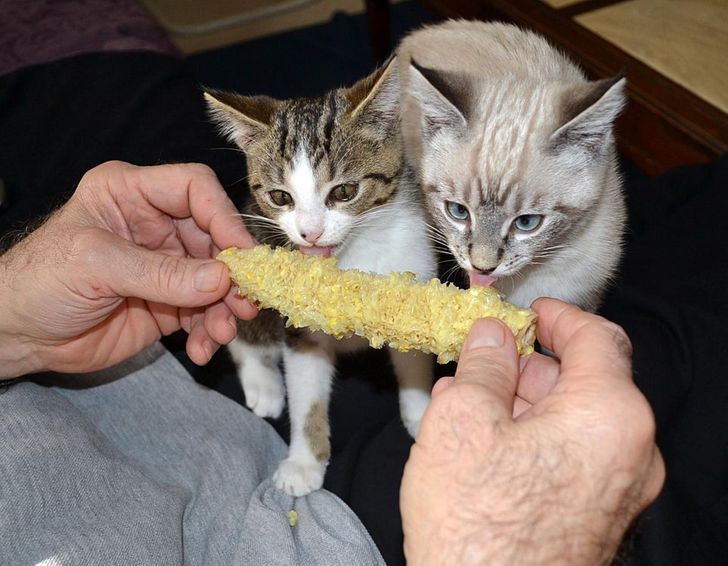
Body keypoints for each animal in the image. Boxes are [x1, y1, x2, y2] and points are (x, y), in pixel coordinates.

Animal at [205, 60, 436, 500]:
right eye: (280, 197)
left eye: (344, 191)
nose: (309, 234)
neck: (353, 258)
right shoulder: (300, 328)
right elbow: (306, 392)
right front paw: (303, 463)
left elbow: (414, 357)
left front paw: (422, 411)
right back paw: (263, 385)